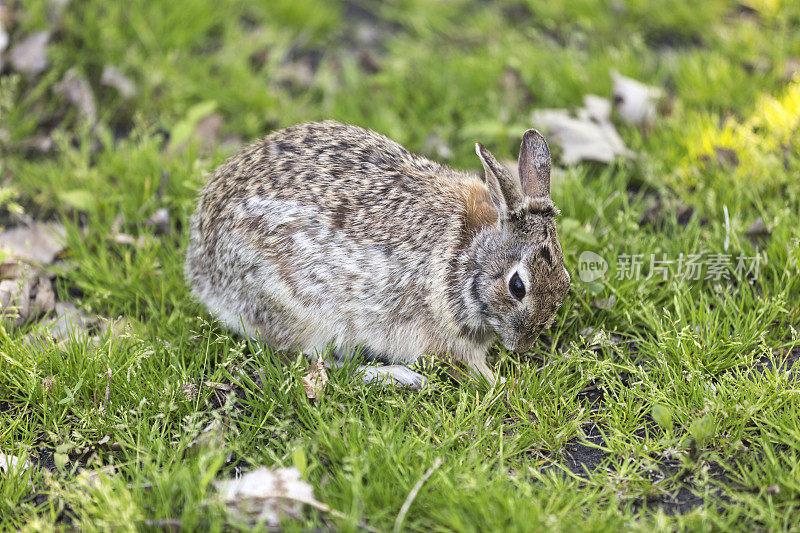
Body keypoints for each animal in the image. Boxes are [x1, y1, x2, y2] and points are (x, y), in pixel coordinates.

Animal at [183, 119, 568, 386]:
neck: (468, 255)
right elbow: (468, 367)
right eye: (517, 286)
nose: (523, 345)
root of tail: (202, 271)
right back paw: (399, 376)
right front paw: (507, 386)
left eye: (564, 280)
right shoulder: (442, 337)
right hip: (296, 306)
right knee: (312, 360)